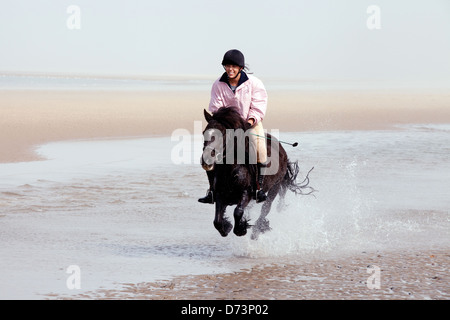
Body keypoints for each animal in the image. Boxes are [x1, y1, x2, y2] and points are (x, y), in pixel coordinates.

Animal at [201, 108, 312, 240]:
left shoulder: (247, 193)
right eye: (204, 133)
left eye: (222, 134)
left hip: (275, 186)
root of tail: (282, 150)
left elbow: (238, 211)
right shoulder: (219, 194)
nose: (206, 160)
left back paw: (257, 230)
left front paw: (241, 229)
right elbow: (217, 220)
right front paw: (227, 227)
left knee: (266, 208)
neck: (232, 168)